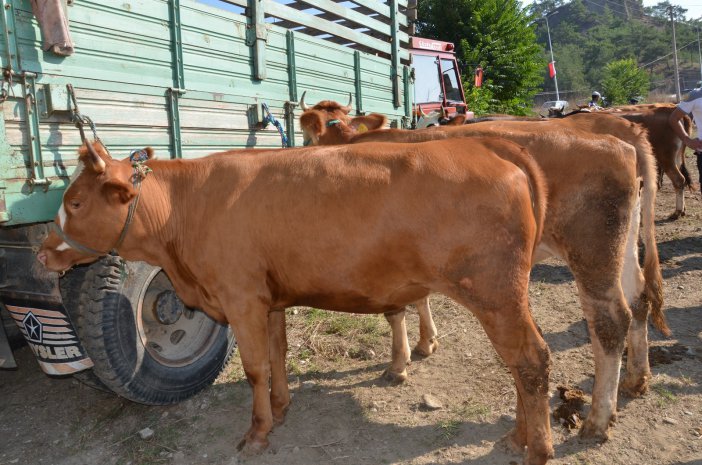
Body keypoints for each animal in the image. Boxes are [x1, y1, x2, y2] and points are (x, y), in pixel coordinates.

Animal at [298, 103, 672, 444]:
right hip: (624, 240)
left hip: (591, 247)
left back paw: (597, 420)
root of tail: (620, 139)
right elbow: (419, 298)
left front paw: (399, 364)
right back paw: (636, 380)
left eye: (308, 134)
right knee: (639, 297)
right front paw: (427, 342)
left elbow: (397, 311)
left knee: (610, 321)